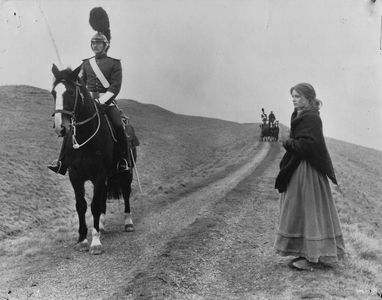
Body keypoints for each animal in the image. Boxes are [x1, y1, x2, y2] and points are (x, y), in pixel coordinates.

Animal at [50, 64, 134, 254]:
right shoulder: (75, 176)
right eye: (53, 93)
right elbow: (81, 206)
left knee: (126, 193)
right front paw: (82, 239)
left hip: (125, 173)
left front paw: (95, 242)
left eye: (71, 92)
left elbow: (94, 205)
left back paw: (128, 223)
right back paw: (101, 225)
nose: (60, 127)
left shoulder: (99, 174)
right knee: (103, 198)